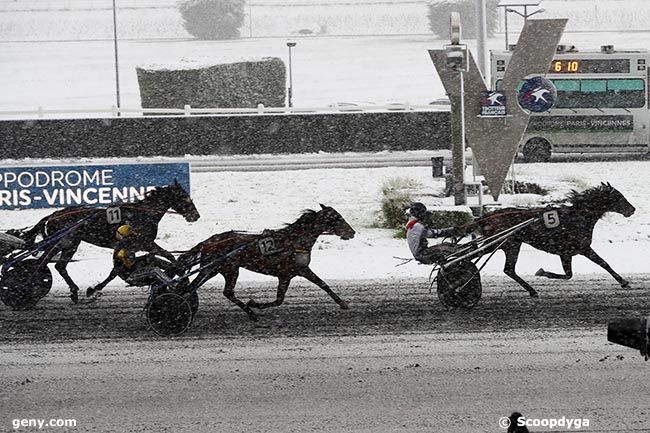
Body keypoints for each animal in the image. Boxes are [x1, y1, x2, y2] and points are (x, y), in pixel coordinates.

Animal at [22, 181, 200, 302]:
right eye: (184, 197)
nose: (196, 216)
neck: (143, 215)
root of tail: (53, 215)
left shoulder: (133, 247)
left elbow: (116, 271)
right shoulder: (144, 243)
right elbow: (168, 255)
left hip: (70, 243)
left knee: (58, 265)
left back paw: (73, 290)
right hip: (63, 241)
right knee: (44, 262)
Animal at [176, 203, 354, 320]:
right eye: (336, 218)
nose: (352, 232)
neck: (294, 241)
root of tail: (209, 241)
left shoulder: (300, 270)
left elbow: (323, 284)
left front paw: (342, 303)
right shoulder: (287, 274)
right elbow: (279, 300)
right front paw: (254, 303)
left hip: (219, 269)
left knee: (217, 291)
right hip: (223, 268)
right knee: (213, 290)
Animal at [464, 182, 636, 296]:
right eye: (619, 197)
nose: (632, 209)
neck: (578, 217)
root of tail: (487, 216)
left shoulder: (568, 252)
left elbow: (573, 273)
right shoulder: (580, 248)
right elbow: (600, 264)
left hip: (509, 244)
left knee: (508, 269)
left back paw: (532, 290)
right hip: (504, 243)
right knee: (484, 260)